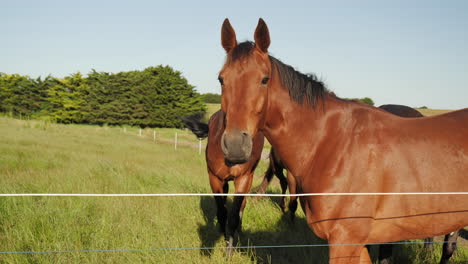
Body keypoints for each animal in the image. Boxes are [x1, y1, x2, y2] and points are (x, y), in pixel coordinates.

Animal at [218, 17, 466, 262]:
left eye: (264, 79)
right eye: (221, 79)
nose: (235, 146)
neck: (331, 144)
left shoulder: (345, 241)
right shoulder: (359, 244)